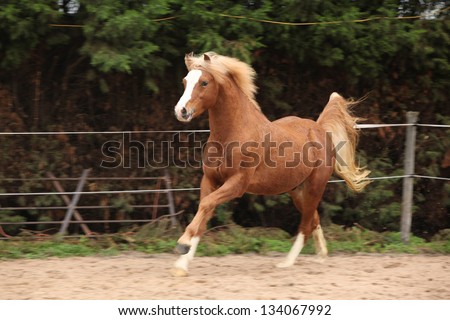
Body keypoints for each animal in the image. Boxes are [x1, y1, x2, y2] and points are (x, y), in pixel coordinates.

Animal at [171, 51, 368, 276]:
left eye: (204, 82)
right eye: (185, 81)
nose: (181, 110)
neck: (233, 134)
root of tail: (319, 128)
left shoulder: (237, 184)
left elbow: (205, 205)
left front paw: (182, 244)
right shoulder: (210, 180)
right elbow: (204, 212)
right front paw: (182, 264)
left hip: (315, 186)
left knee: (305, 225)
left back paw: (286, 263)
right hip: (297, 190)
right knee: (314, 219)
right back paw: (321, 255)